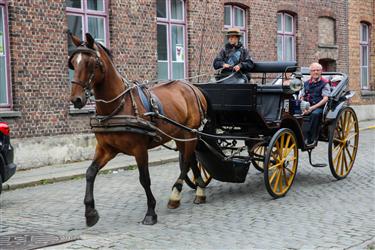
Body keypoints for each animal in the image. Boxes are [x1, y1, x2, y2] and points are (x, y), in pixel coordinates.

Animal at [68, 33, 209, 227]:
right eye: (73, 63)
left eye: (90, 63)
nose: (76, 100)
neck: (118, 106)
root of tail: (193, 87)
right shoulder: (106, 149)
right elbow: (90, 173)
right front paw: (90, 213)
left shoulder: (139, 149)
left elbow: (144, 179)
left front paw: (150, 213)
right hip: (181, 134)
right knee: (191, 160)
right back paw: (199, 191)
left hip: (190, 132)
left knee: (187, 161)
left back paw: (176, 195)